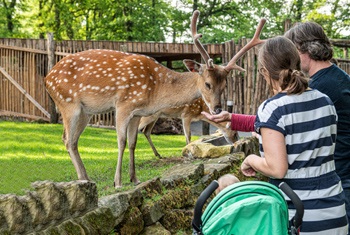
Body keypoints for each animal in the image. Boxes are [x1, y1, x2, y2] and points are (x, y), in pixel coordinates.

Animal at [43, 9, 266, 187]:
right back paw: (84, 178)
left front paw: (134, 178)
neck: (155, 89)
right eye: (207, 84)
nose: (218, 109)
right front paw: (118, 182)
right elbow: (121, 141)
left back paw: (85, 178)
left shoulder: (137, 113)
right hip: (68, 103)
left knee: (71, 140)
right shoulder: (123, 104)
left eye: (224, 85)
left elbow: (133, 142)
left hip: (85, 112)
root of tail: (47, 78)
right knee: (68, 140)